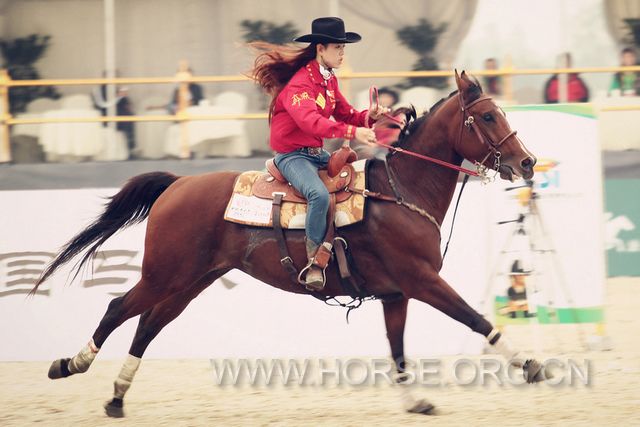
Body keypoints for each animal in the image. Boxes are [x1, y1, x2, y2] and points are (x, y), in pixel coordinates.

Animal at [30, 72, 540, 418]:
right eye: (488, 116)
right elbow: (477, 320)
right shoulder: (423, 280)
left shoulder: (397, 293)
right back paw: (69, 365)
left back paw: (117, 397)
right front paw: (533, 365)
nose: (528, 162)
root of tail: (178, 184)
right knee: (119, 308)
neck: (400, 191)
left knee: (149, 324)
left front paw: (416, 401)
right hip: (164, 274)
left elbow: (397, 347)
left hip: (191, 280)